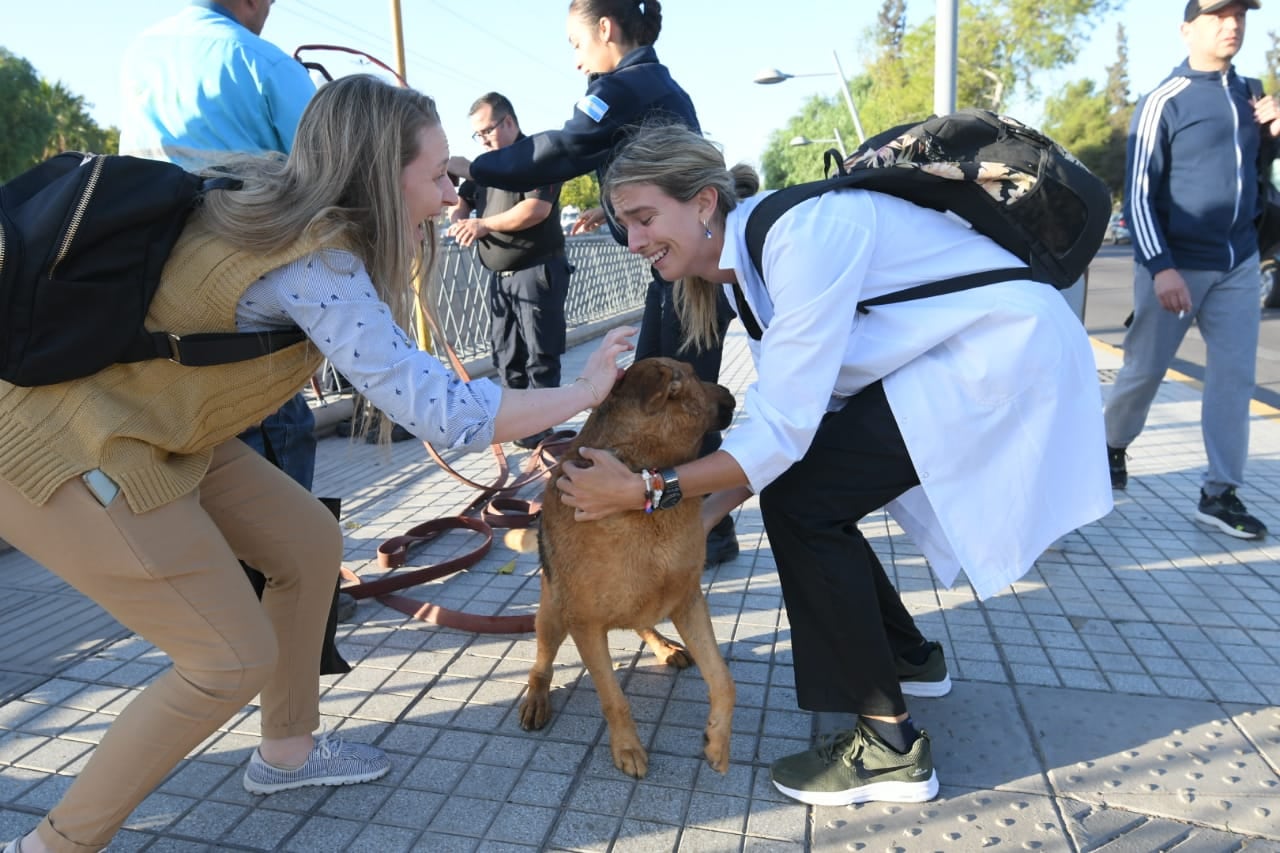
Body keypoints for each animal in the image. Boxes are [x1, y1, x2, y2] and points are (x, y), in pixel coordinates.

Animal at [517, 356, 737, 773]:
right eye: (693, 376)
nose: (732, 394)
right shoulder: (585, 625)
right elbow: (613, 699)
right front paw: (627, 747)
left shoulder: (689, 600)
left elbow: (722, 679)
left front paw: (717, 739)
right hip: (551, 616)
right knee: (541, 665)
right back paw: (537, 697)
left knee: (643, 624)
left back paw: (666, 647)